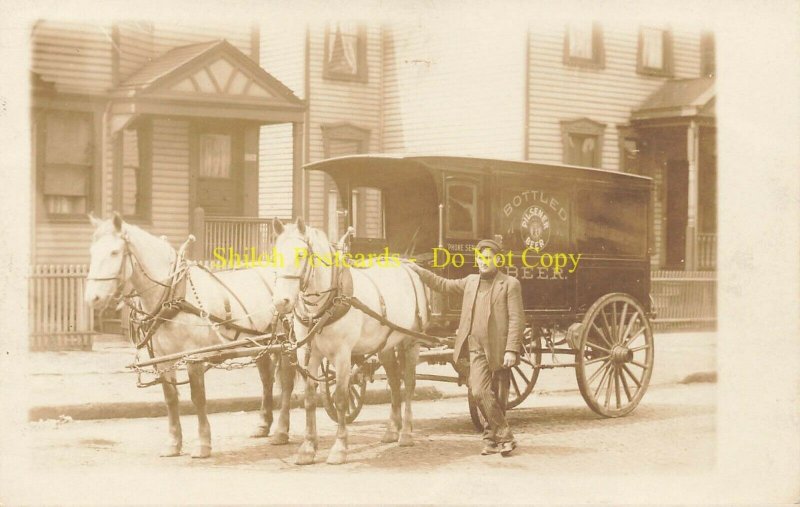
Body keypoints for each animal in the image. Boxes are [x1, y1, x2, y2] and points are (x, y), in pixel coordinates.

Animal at [85, 212, 296, 458]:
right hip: (260, 343)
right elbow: (170, 398)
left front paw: (203, 444)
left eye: (114, 252)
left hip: (286, 343)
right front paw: (173, 444)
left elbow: (198, 398)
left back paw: (281, 431)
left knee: (287, 383)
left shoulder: (194, 356)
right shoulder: (163, 358)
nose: (92, 298)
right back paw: (263, 425)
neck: (174, 295)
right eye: (92, 252)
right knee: (266, 379)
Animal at [272, 218, 428, 464]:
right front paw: (308, 448)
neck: (326, 304)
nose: (281, 302)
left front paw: (339, 448)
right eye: (275, 255)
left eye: (300, 254)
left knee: (409, 384)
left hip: (411, 341)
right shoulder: (310, 354)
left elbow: (341, 398)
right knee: (394, 383)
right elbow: (309, 399)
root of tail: (407, 265)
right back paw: (392, 430)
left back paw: (406, 433)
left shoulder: (343, 355)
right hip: (385, 345)